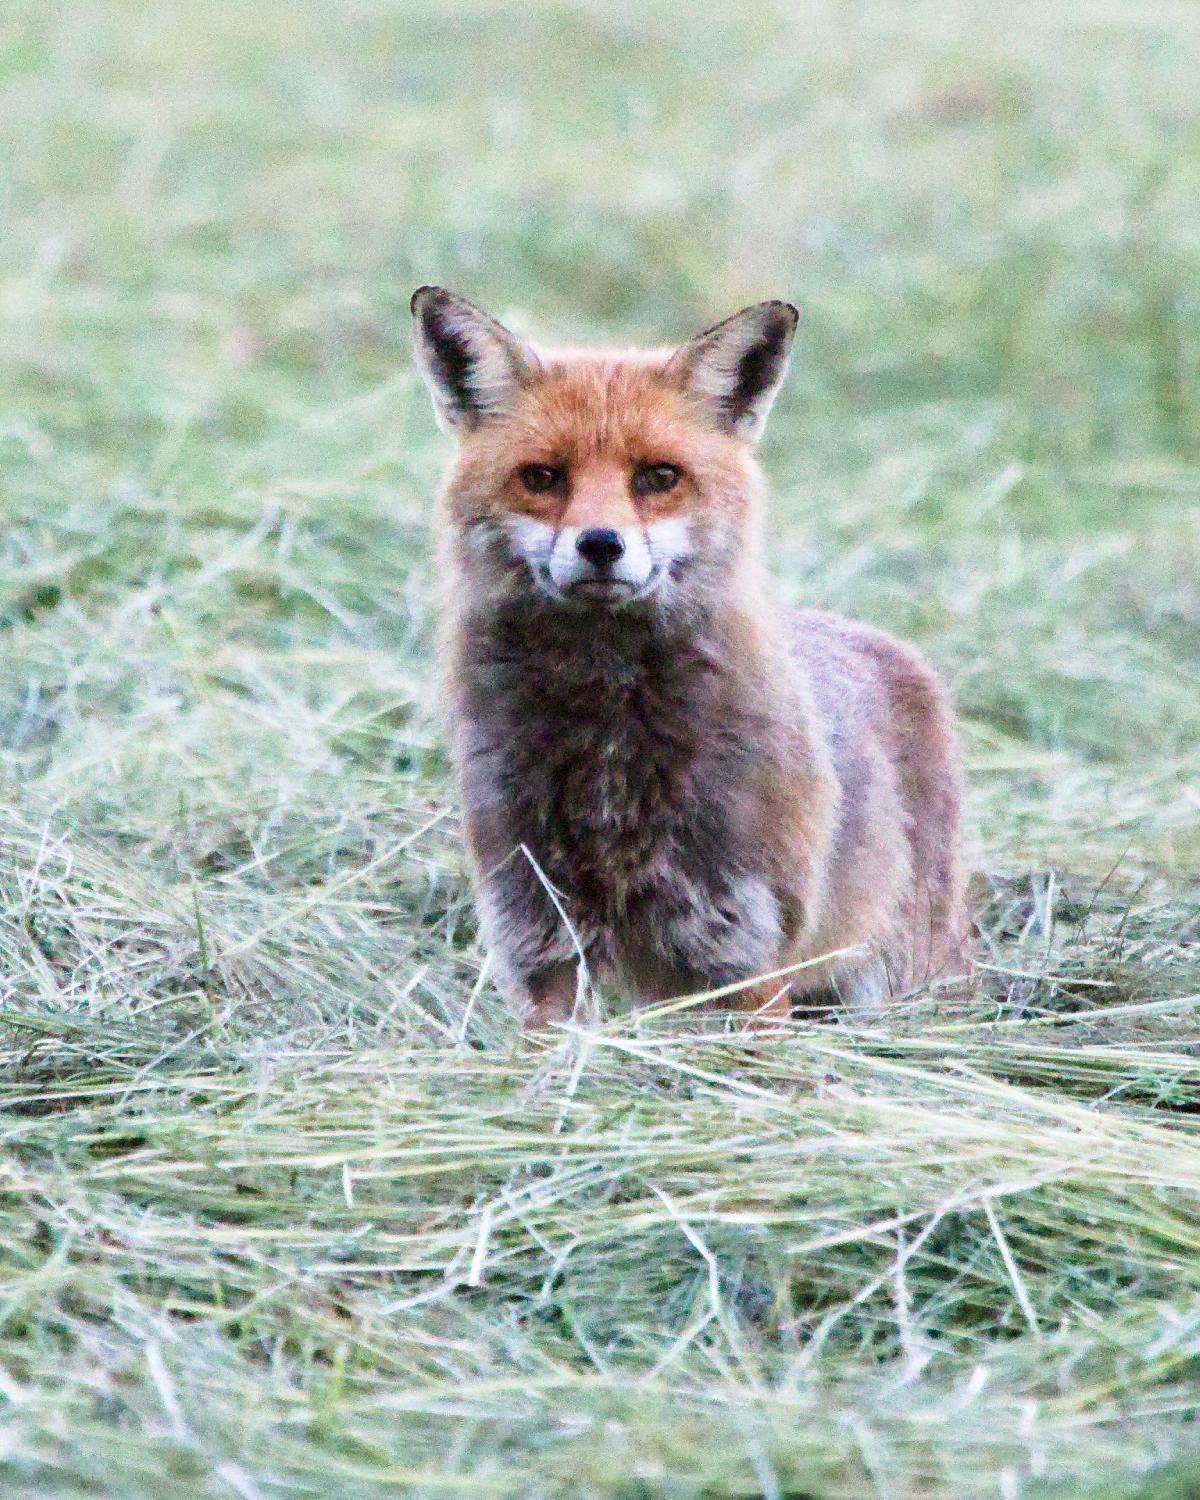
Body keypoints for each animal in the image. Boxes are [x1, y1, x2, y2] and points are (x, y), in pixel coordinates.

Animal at [411, 285, 973, 1029]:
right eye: (542, 477)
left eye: (658, 476)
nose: (600, 543)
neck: (609, 754)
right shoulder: (538, 940)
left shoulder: (746, 955)